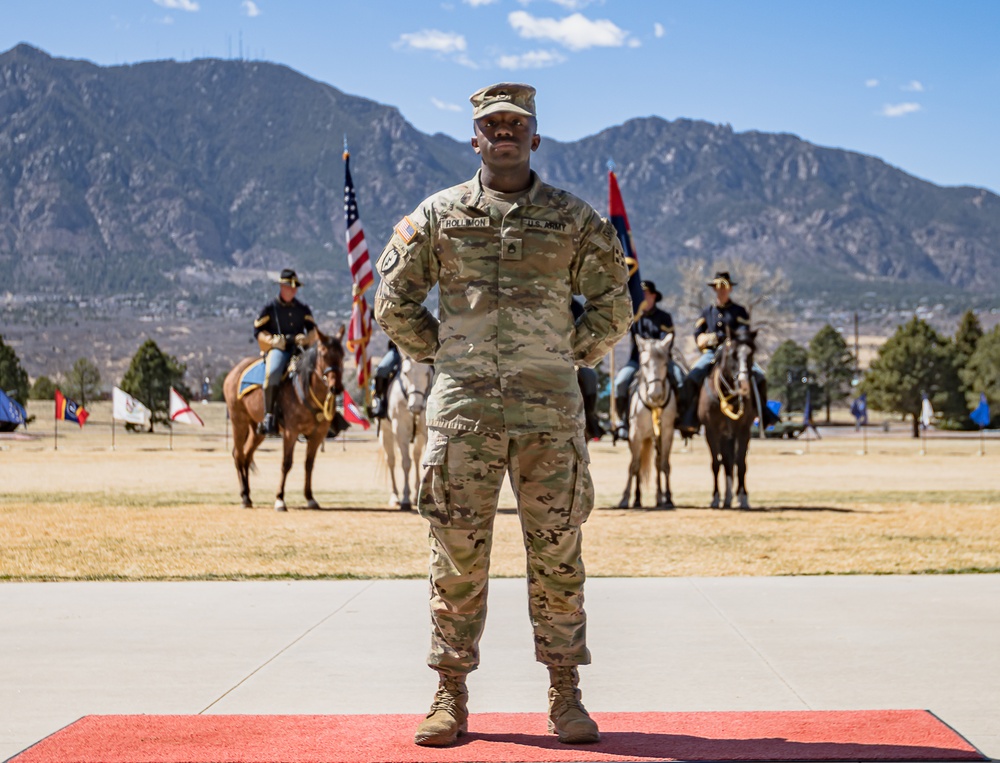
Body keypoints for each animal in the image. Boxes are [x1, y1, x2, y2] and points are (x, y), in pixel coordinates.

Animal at [221, 326, 346, 510]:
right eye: (323, 354)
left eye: (342, 355)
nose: (335, 387)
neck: (305, 391)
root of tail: (233, 373)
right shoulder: (290, 433)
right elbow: (286, 464)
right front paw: (280, 499)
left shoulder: (317, 435)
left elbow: (309, 464)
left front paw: (310, 498)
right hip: (239, 422)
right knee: (238, 455)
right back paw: (244, 496)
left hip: (257, 430)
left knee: (247, 455)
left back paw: (248, 496)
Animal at [378, 356, 434, 510]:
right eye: (405, 373)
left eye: (427, 373)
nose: (416, 406)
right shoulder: (400, 430)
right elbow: (405, 463)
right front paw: (405, 499)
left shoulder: (427, 432)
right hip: (386, 432)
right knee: (391, 460)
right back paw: (395, 497)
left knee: (416, 457)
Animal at [616, 332, 680, 508]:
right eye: (644, 364)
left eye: (665, 363)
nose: (655, 394)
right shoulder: (635, 435)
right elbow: (634, 466)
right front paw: (625, 498)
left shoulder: (666, 433)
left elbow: (664, 464)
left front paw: (668, 498)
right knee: (637, 464)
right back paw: (637, 499)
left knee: (657, 463)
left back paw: (659, 497)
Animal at [700, 332, 760, 510]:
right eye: (732, 354)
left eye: (751, 353)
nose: (744, 384)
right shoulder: (711, 431)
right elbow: (716, 464)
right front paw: (715, 498)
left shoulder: (743, 430)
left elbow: (741, 464)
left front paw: (744, 498)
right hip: (724, 436)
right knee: (726, 463)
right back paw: (726, 498)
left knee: (731, 463)